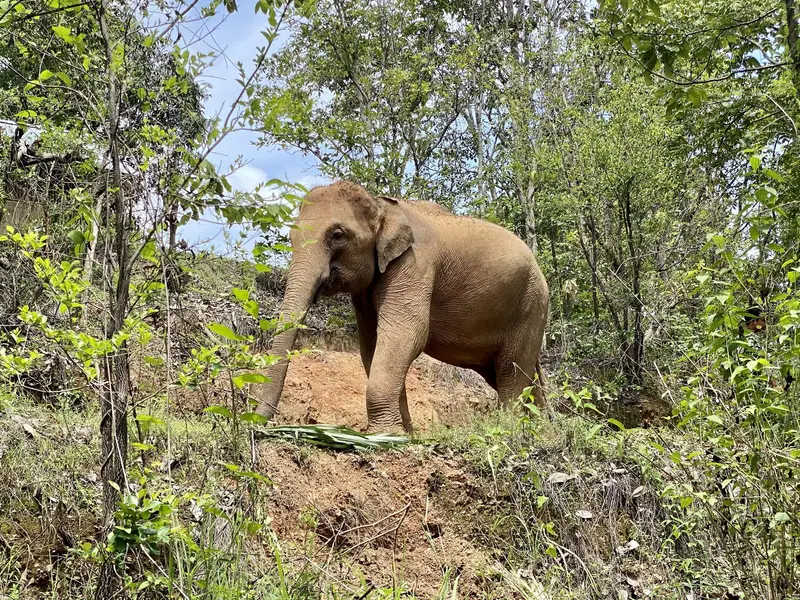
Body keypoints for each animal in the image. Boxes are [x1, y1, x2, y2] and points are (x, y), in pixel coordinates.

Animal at [255, 181, 549, 432]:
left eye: (337, 235)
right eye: (291, 237)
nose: (260, 424)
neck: (381, 205)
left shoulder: (414, 265)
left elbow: (405, 335)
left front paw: (384, 434)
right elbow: (372, 344)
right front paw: (404, 432)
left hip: (531, 307)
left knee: (511, 370)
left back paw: (512, 428)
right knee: (513, 375)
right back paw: (540, 426)